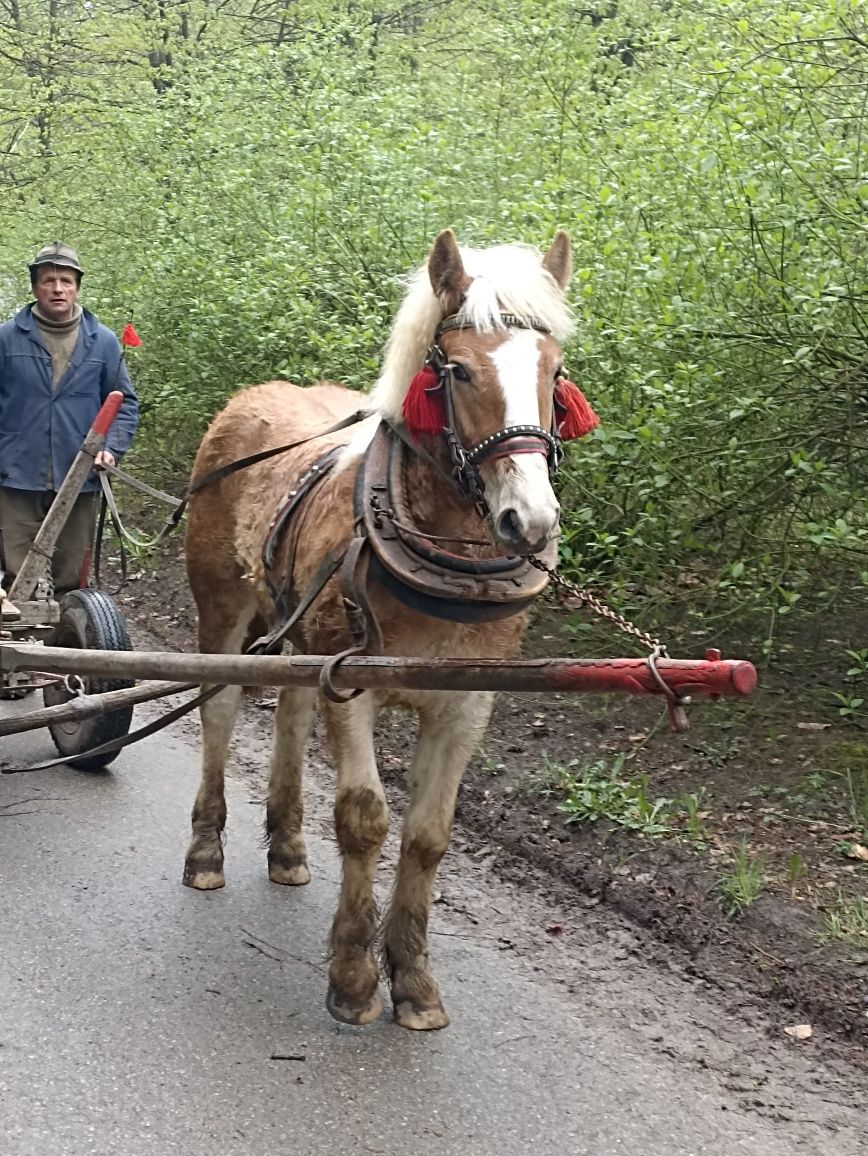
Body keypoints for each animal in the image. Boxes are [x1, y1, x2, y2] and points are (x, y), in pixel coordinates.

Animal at [183, 227, 596, 1031]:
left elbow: (430, 836)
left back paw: (287, 846)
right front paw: (352, 976)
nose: (530, 521)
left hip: (298, 633)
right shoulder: (355, 685)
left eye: (554, 370)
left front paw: (414, 979)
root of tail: (253, 396)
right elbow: (365, 820)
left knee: (290, 709)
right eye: (458, 371)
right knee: (218, 709)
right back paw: (207, 851)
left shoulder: (466, 703)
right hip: (223, 609)